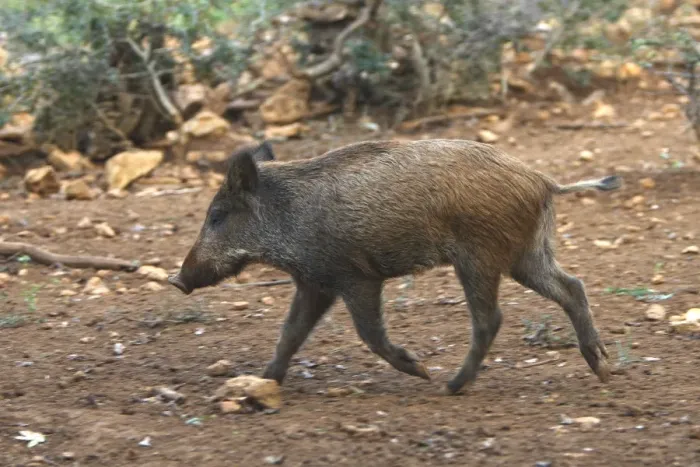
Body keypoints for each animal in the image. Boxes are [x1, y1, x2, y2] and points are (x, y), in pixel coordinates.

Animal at [169, 139, 621, 395]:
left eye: (217, 216)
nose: (177, 279)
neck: (289, 216)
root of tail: (543, 181)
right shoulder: (315, 283)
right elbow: (290, 334)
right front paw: (264, 382)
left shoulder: (356, 277)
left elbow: (368, 334)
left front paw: (418, 369)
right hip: (525, 255)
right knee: (572, 287)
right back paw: (602, 370)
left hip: (480, 258)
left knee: (490, 318)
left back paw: (449, 386)